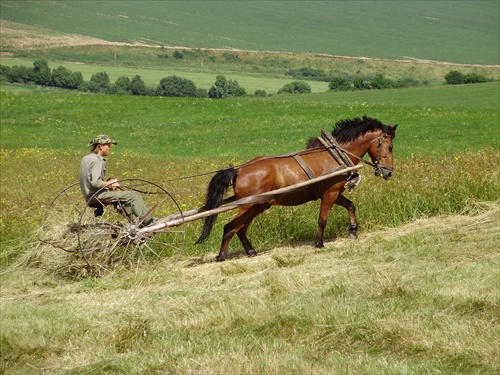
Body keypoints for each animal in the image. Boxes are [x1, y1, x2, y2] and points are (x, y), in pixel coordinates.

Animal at [195, 116, 398, 262]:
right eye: (390, 146)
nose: (388, 172)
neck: (335, 156)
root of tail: (239, 170)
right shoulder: (330, 193)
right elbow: (322, 219)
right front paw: (319, 243)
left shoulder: (334, 193)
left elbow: (351, 205)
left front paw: (353, 230)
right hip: (248, 206)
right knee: (230, 227)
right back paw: (222, 256)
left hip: (258, 206)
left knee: (240, 228)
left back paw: (251, 251)